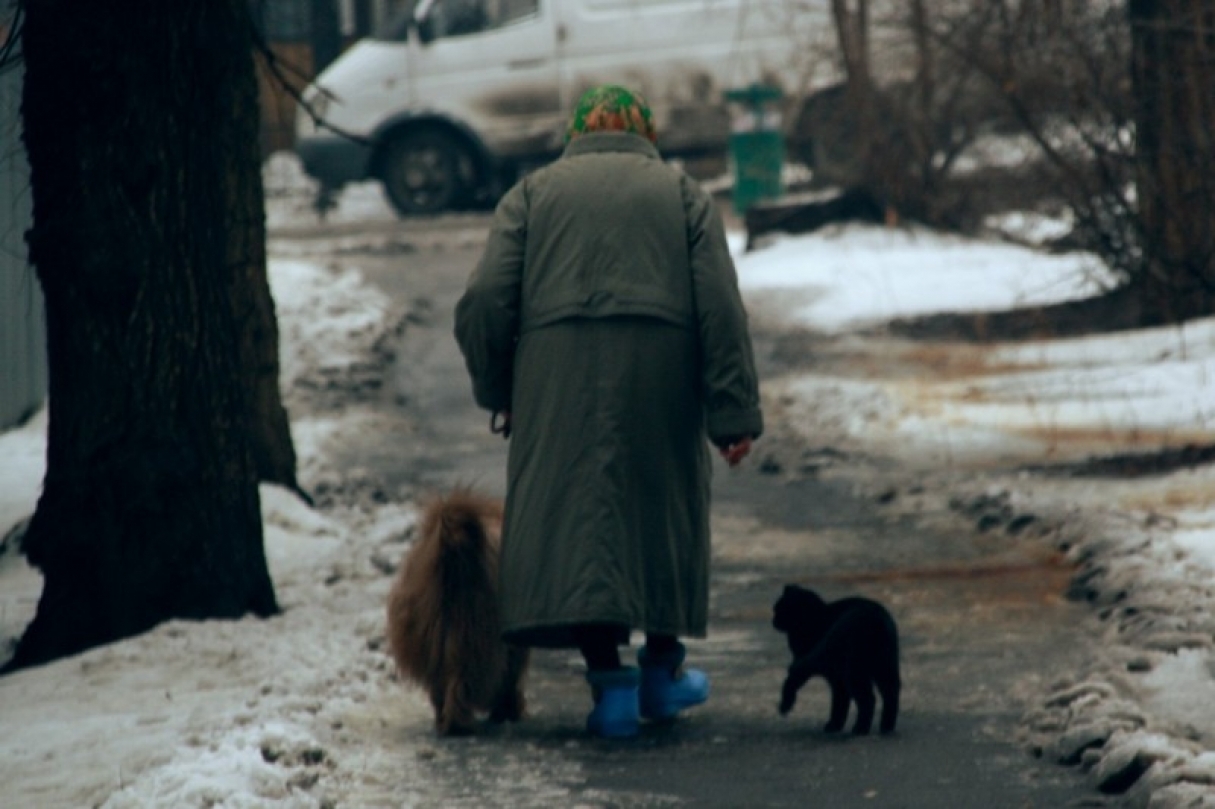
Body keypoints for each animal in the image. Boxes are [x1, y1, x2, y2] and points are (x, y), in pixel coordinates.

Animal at [383, 488, 527, 733]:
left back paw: (446, 718)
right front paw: (507, 709)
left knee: (441, 682)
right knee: (465, 680)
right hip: (477, 633)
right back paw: (460, 721)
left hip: (428, 631)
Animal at [772, 583, 899, 733]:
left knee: (868, 699)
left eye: (778, 609)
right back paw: (886, 728)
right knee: (891, 694)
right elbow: (840, 702)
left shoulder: (812, 664)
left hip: (854, 671)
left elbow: (792, 680)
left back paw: (860, 729)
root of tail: (877, 621)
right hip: (885, 668)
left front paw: (785, 705)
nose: (773, 620)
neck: (814, 620)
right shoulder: (836, 678)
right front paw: (835, 725)